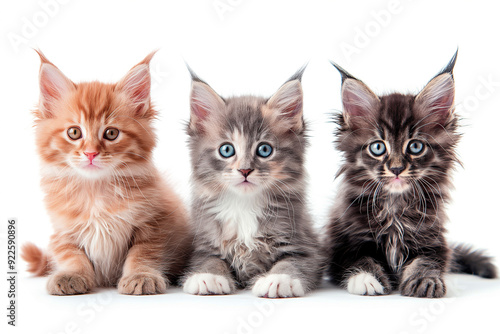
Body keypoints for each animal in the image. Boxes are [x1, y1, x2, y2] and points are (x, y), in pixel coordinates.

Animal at [21, 49, 191, 294]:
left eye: (111, 133)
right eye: (74, 132)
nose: (91, 153)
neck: (96, 191)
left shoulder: (155, 223)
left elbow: (142, 253)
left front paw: (140, 276)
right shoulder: (62, 232)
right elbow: (71, 255)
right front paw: (72, 275)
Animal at [182, 66, 322, 296]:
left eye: (264, 149)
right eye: (226, 150)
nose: (245, 170)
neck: (243, 205)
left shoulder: (305, 246)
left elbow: (291, 263)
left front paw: (278, 280)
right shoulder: (202, 244)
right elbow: (209, 260)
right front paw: (208, 277)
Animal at [324, 51, 496, 298]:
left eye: (415, 146)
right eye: (378, 147)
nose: (396, 168)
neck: (395, 207)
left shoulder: (433, 240)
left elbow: (427, 261)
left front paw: (426, 280)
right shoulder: (345, 242)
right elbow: (361, 259)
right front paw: (367, 280)